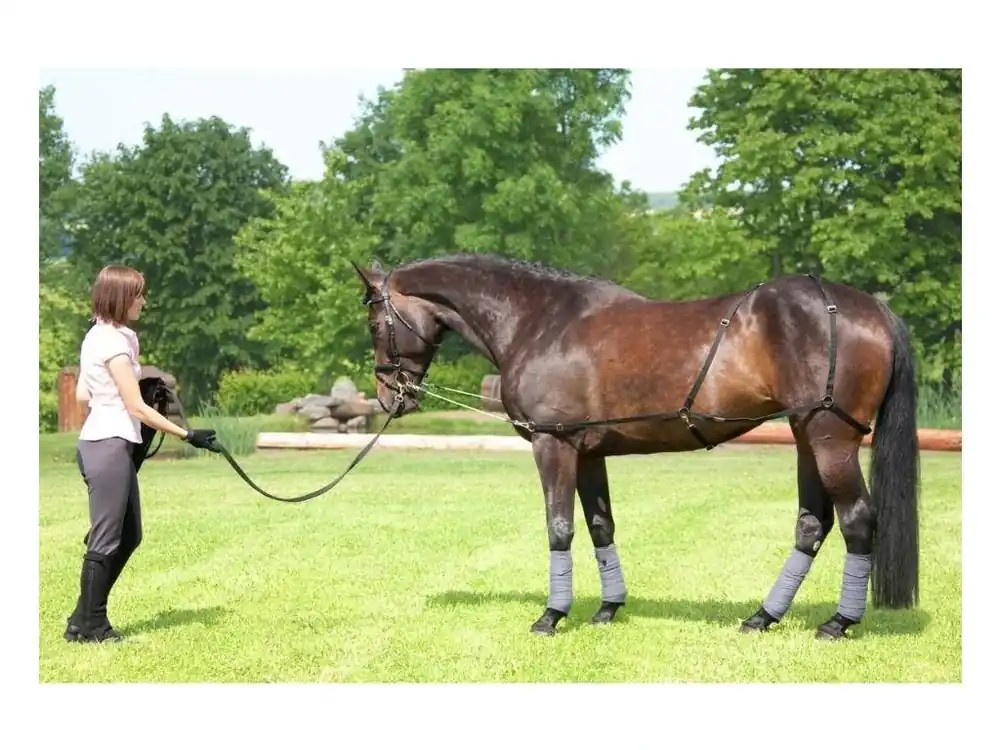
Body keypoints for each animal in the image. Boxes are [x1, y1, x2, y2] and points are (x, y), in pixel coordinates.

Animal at [351, 253, 920, 640]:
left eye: (376, 322)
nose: (387, 395)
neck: (539, 321)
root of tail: (871, 308)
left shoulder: (553, 446)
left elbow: (559, 528)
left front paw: (552, 615)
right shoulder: (588, 453)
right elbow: (600, 526)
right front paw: (607, 608)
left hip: (830, 440)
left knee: (857, 520)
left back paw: (838, 621)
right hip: (807, 438)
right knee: (811, 525)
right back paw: (763, 616)